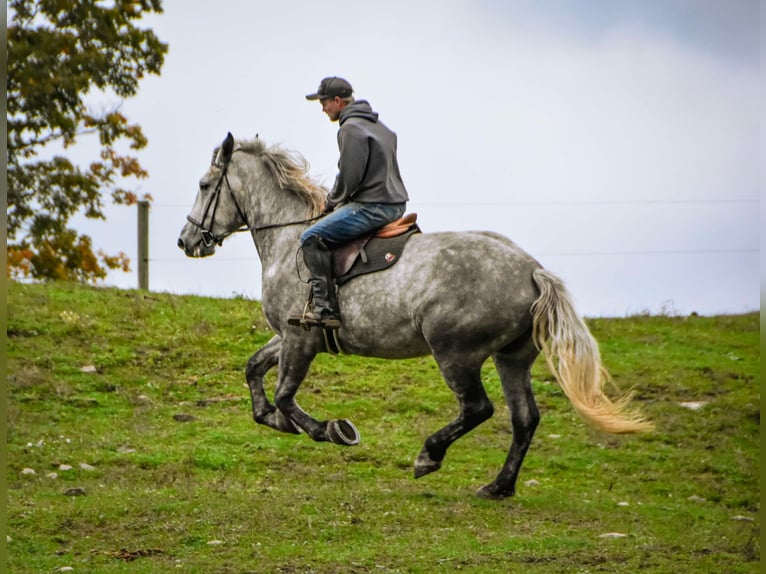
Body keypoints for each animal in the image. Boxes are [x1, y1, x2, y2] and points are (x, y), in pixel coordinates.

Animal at [178, 133, 656, 502]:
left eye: (204, 184)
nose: (186, 241)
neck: (290, 238)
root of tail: (531, 269)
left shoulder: (302, 339)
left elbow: (285, 395)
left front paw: (331, 430)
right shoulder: (288, 335)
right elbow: (254, 370)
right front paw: (274, 420)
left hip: (455, 353)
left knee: (478, 408)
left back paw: (430, 455)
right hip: (511, 358)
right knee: (524, 419)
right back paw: (498, 487)